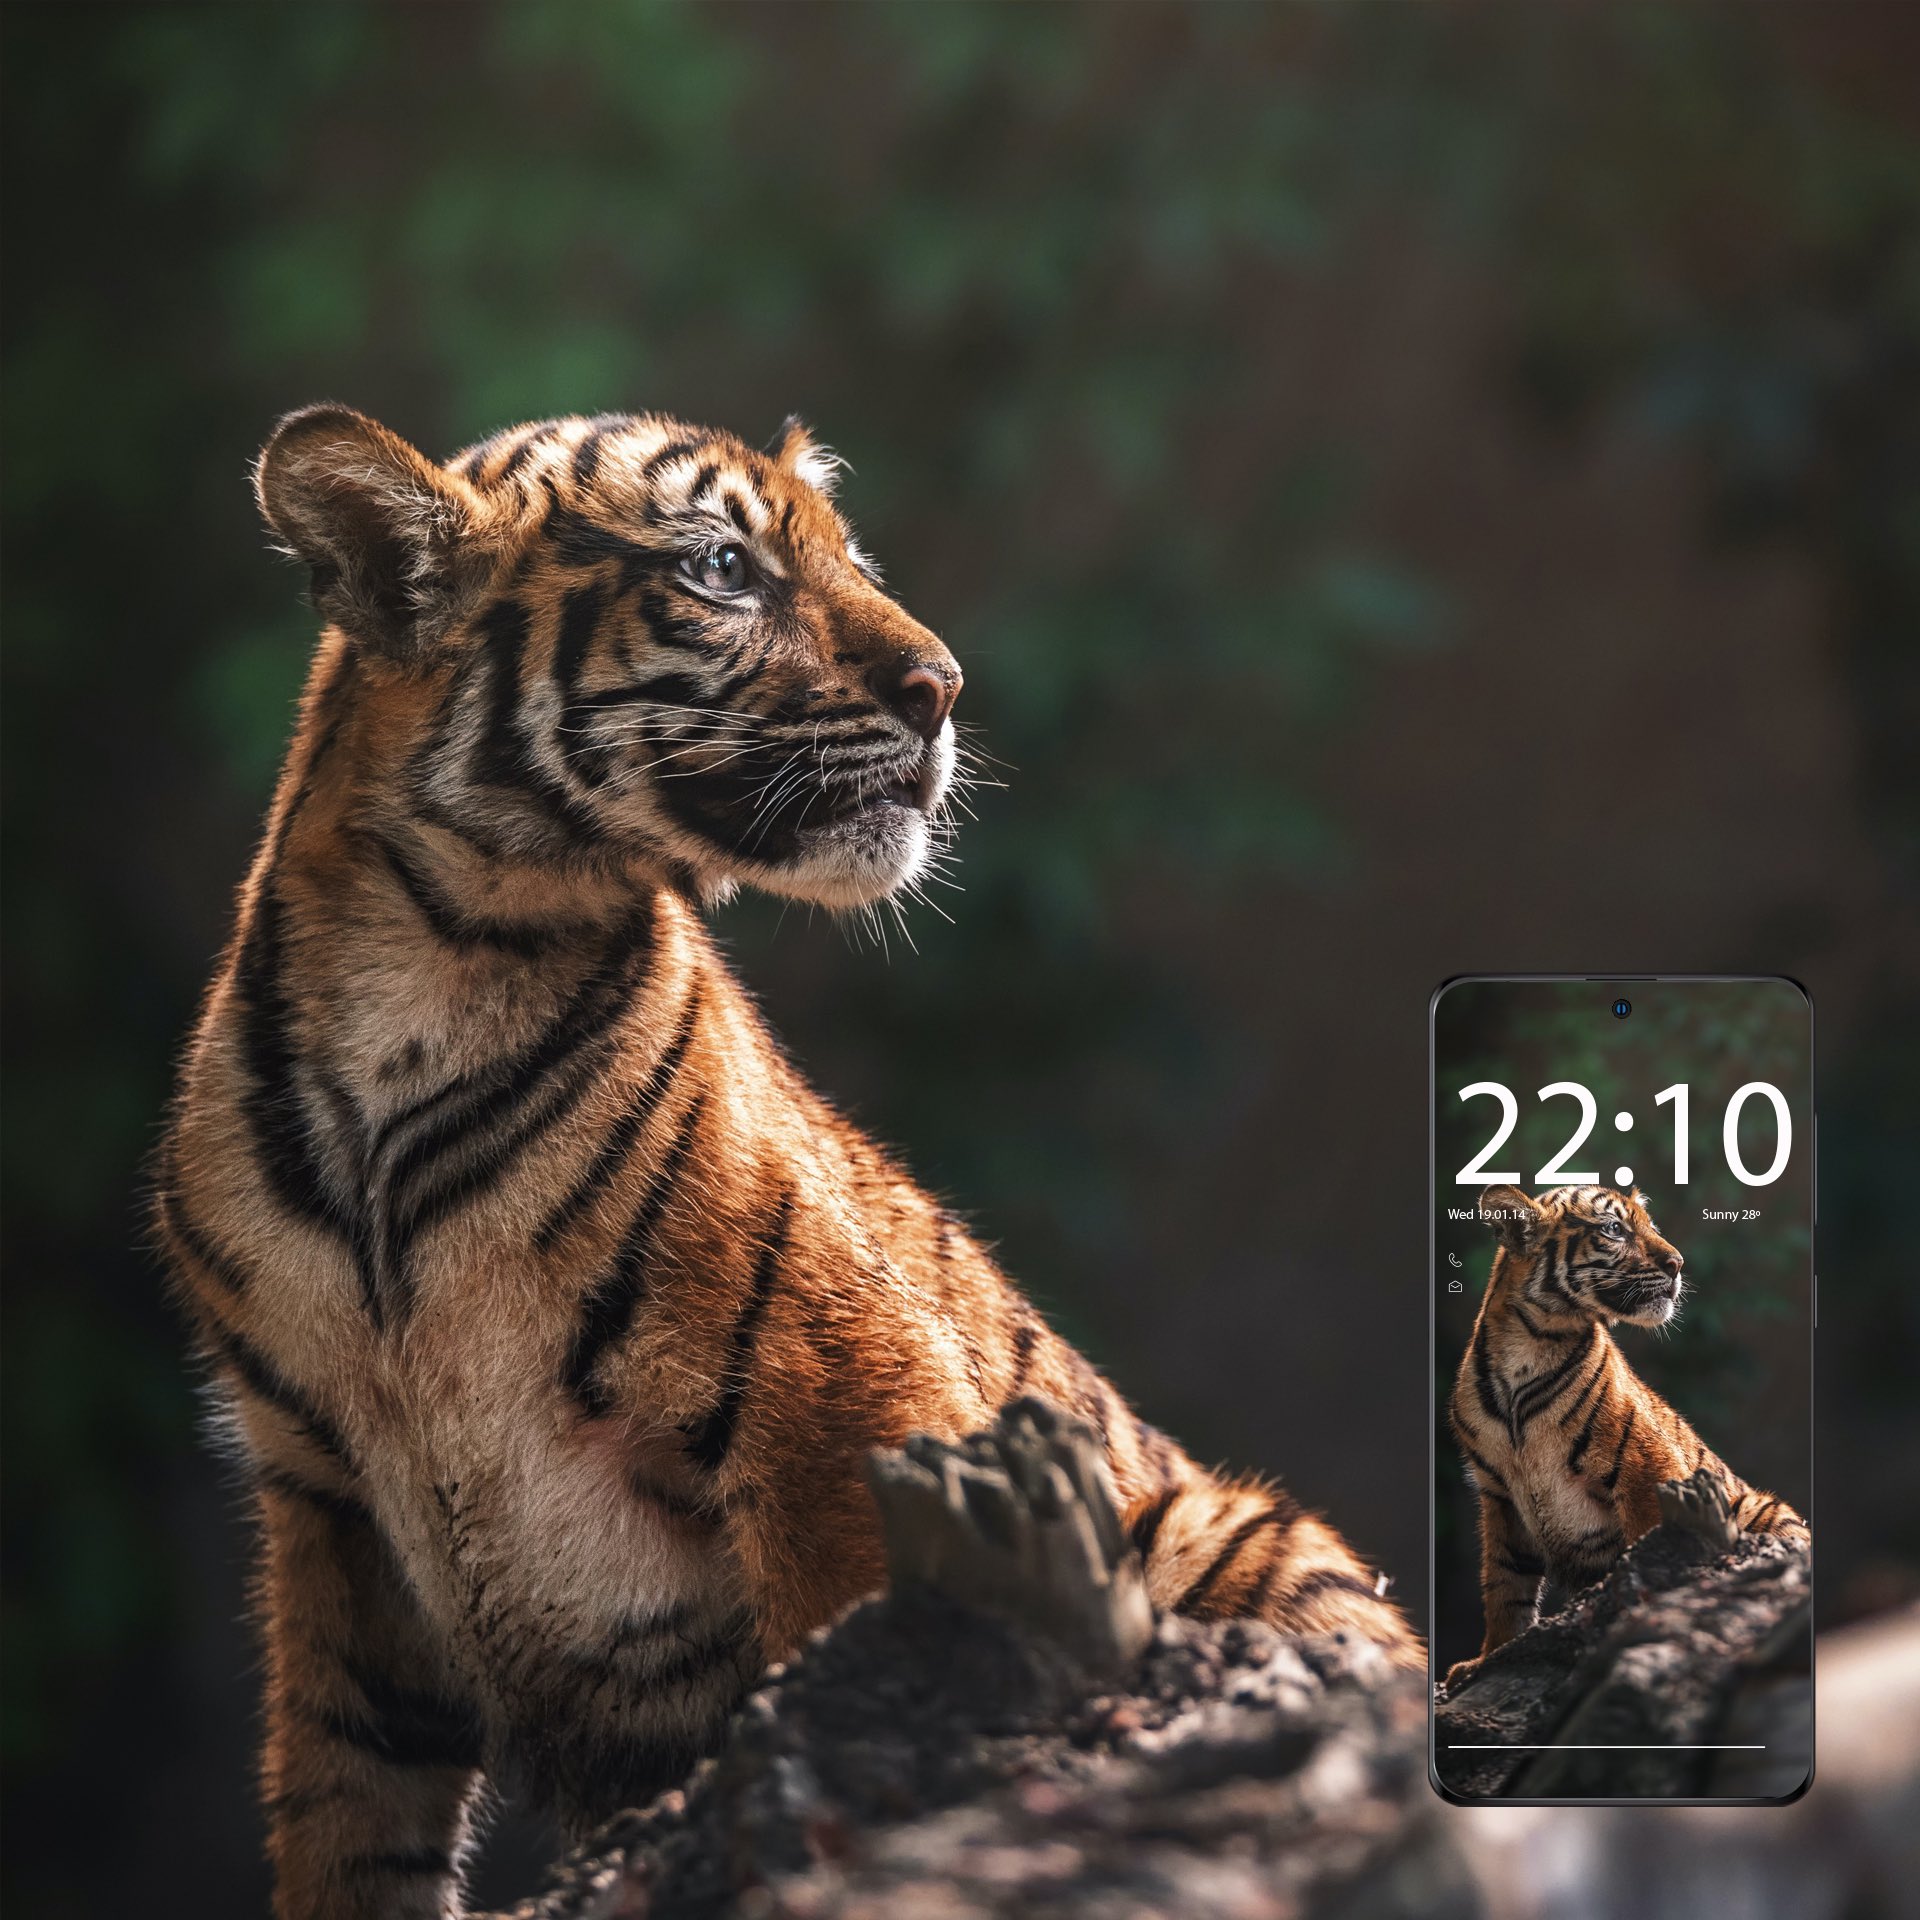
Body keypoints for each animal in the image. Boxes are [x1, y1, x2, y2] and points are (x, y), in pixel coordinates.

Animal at [154, 404, 1421, 1920]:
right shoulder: (325, 1496)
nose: (944, 688)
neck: (432, 981)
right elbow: (346, 1805)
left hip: (1231, 1533)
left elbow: (843, 1637)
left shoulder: (836, 1389)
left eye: (849, 558)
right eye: (722, 569)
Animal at [1444, 1182, 1807, 1689]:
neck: (1531, 1345)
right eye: (1614, 1229)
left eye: (1651, 1226)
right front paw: (1486, 1660)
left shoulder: (1643, 1465)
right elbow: (1504, 1584)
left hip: (1765, 1509)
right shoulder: (1499, 1494)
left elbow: (1645, 1543)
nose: (1678, 1263)